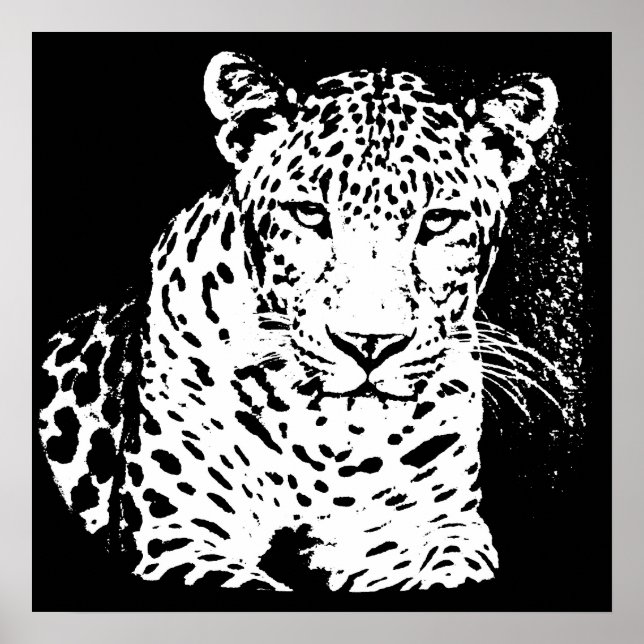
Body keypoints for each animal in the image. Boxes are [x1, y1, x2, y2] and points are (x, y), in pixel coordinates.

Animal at [38, 51, 559, 592]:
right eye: (309, 214)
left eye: (438, 221)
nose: (369, 343)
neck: (327, 433)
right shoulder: (175, 536)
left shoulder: (424, 525)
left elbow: (452, 566)